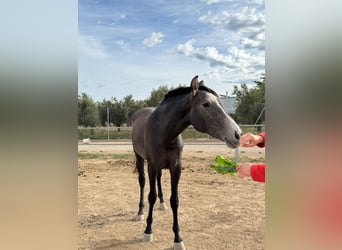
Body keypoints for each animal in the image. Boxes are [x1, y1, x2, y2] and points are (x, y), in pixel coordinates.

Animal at [131, 75, 240, 249]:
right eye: (206, 104)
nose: (237, 134)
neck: (164, 132)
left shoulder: (176, 167)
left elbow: (175, 200)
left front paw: (178, 238)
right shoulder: (152, 166)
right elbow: (151, 196)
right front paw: (148, 231)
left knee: (159, 180)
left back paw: (162, 204)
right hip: (140, 159)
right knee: (142, 182)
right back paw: (140, 212)